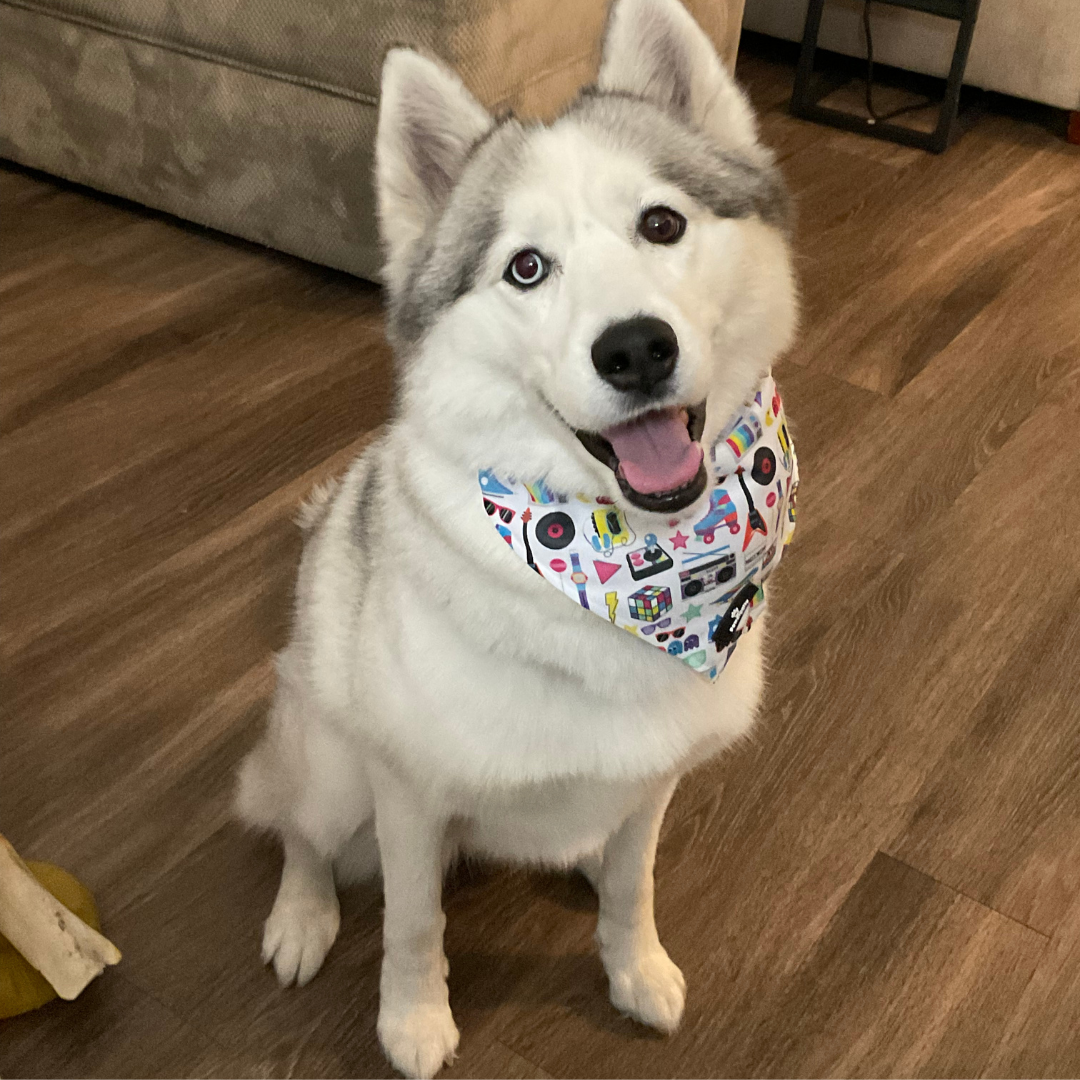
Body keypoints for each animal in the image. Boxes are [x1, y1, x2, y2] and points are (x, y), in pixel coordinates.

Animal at [235, 0, 797, 1075]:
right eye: (525, 268)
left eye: (662, 223)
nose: (635, 348)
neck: (620, 576)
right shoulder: (408, 794)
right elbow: (414, 925)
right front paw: (413, 1022)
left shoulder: (654, 781)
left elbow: (634, 885)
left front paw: (634, 967)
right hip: (326, 759)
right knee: (297, 830)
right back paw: (300, 916)